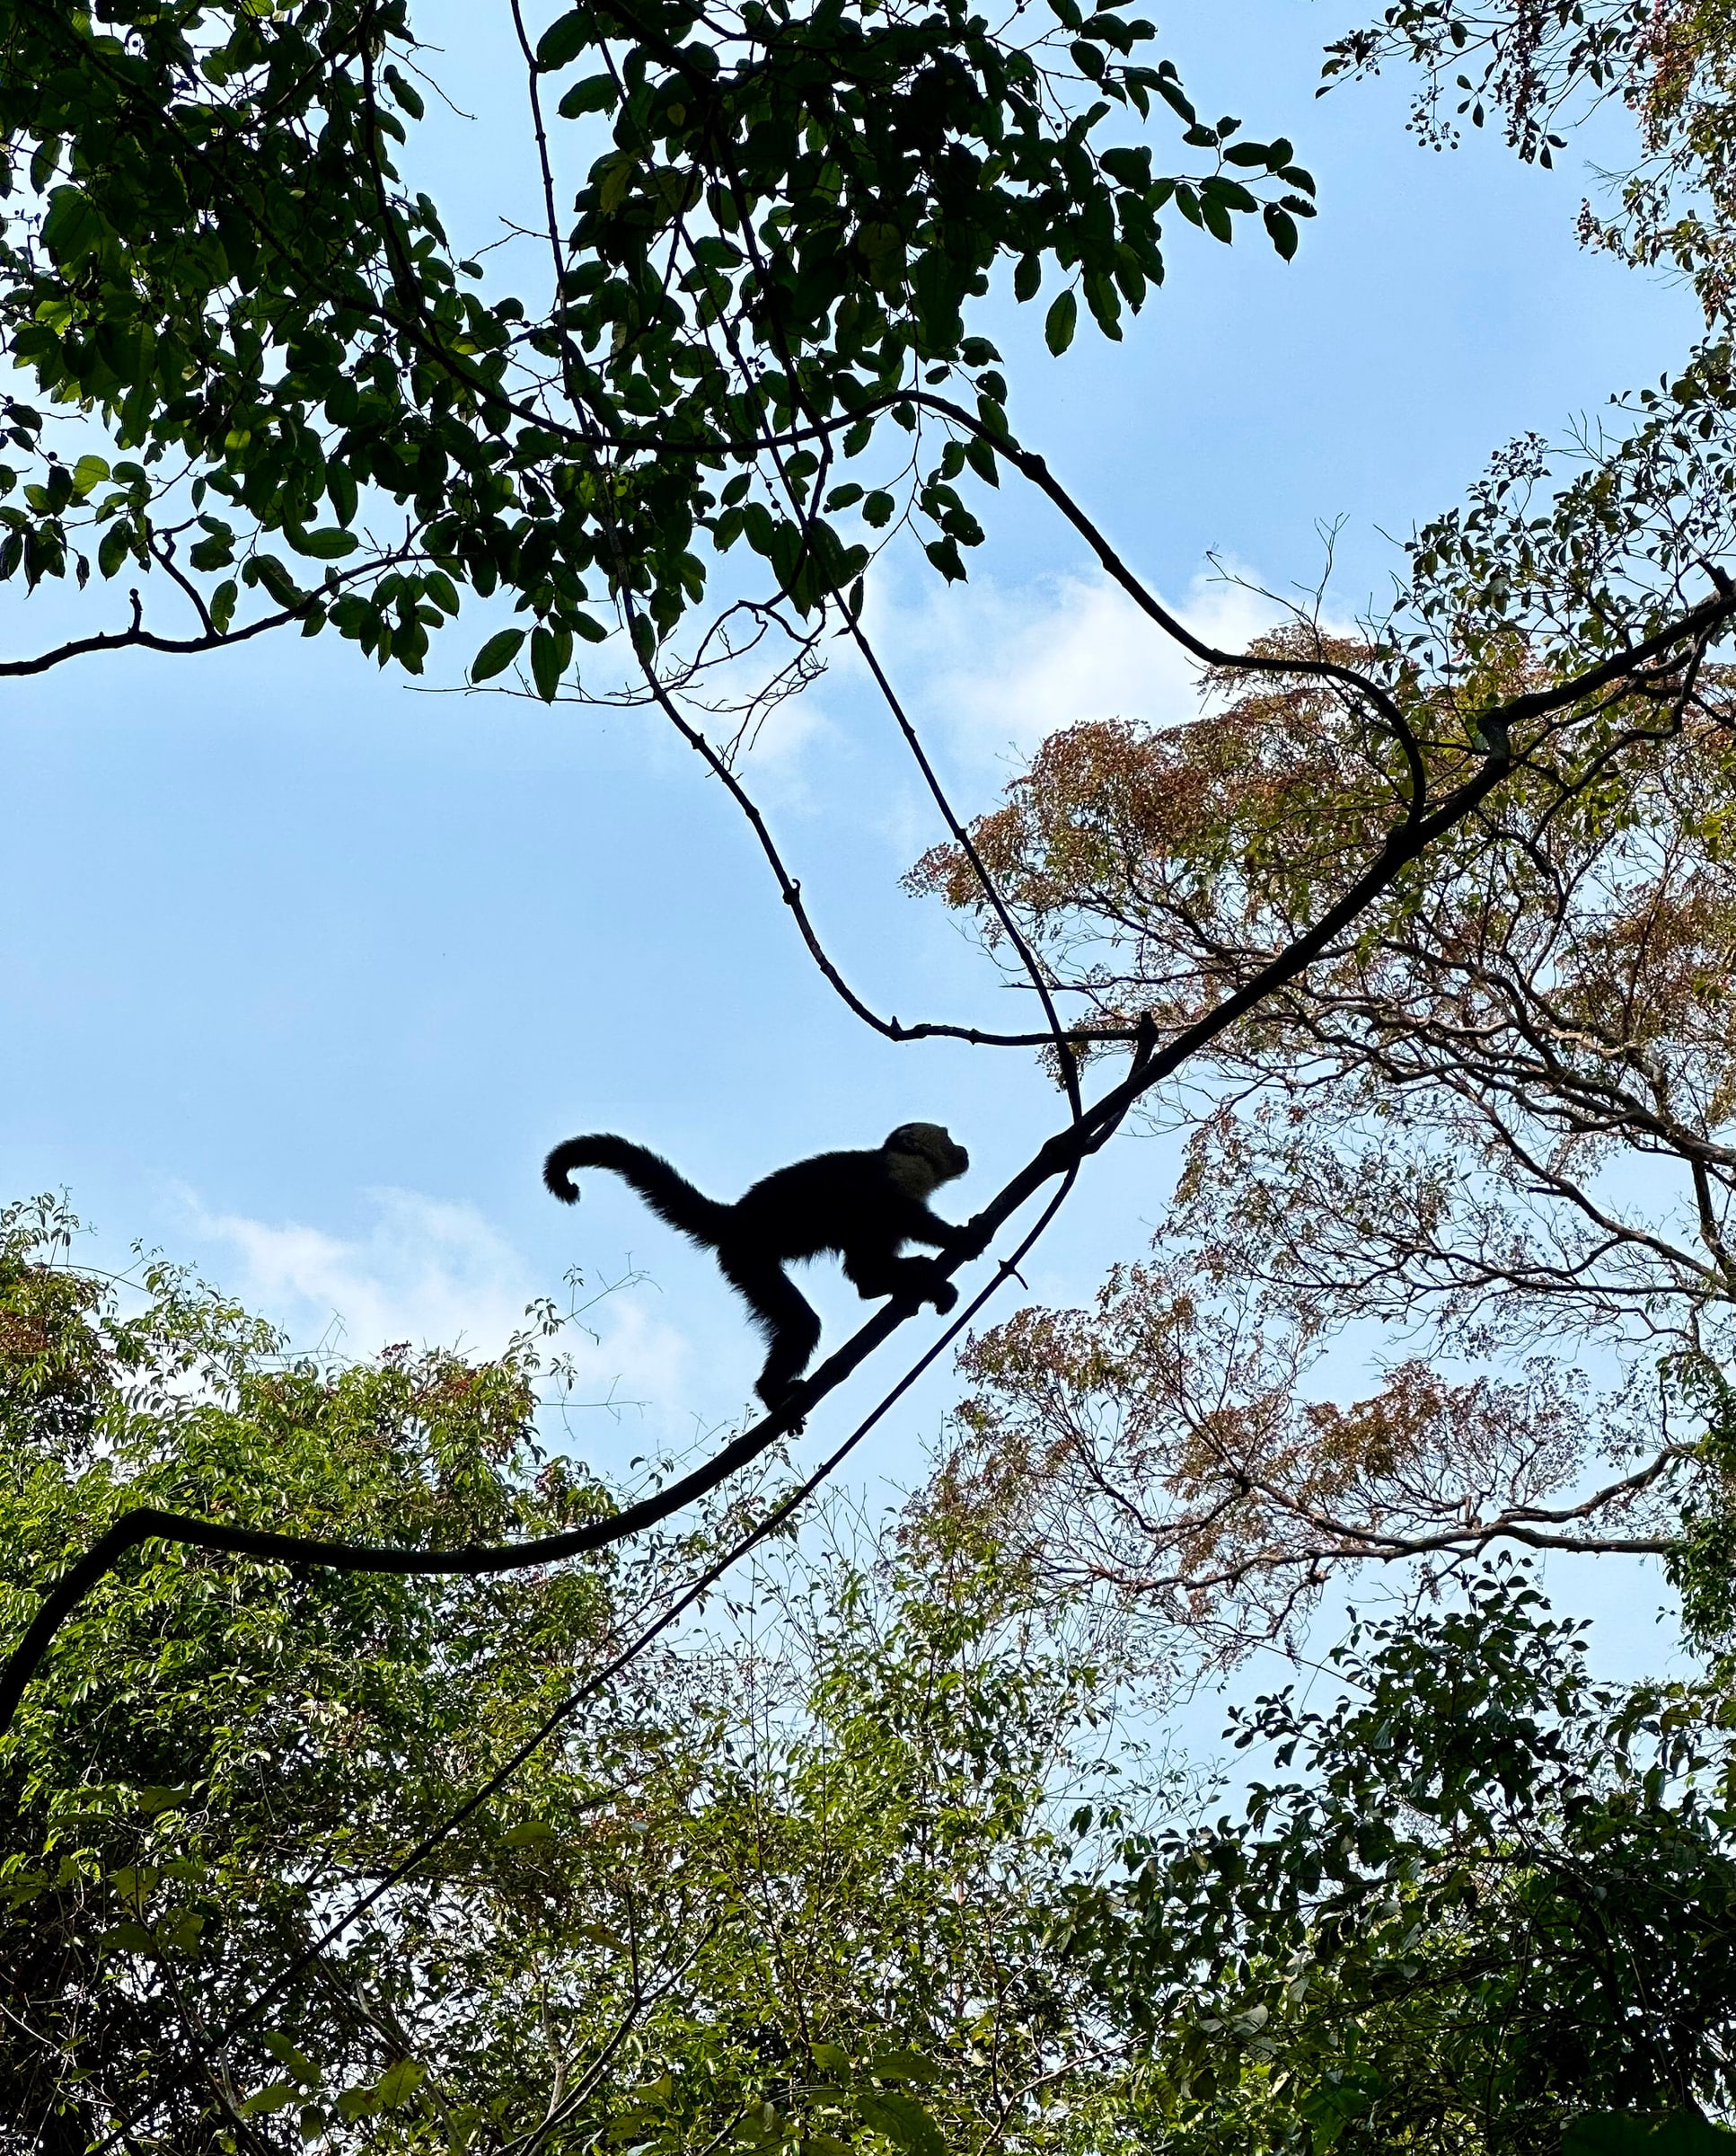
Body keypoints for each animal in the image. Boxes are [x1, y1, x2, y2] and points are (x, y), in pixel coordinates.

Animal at [542, 1123, 977, 1411]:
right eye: (947, 1135)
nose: (963, 1148)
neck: (909, 1167)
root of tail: (736, 1218)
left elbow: (865, 1273)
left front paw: (917, 1283)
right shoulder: (890, 1181)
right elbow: (900, 1221)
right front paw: (958, 1240)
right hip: (748, 1259)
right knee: (801, 1324)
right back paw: (771, 1392)